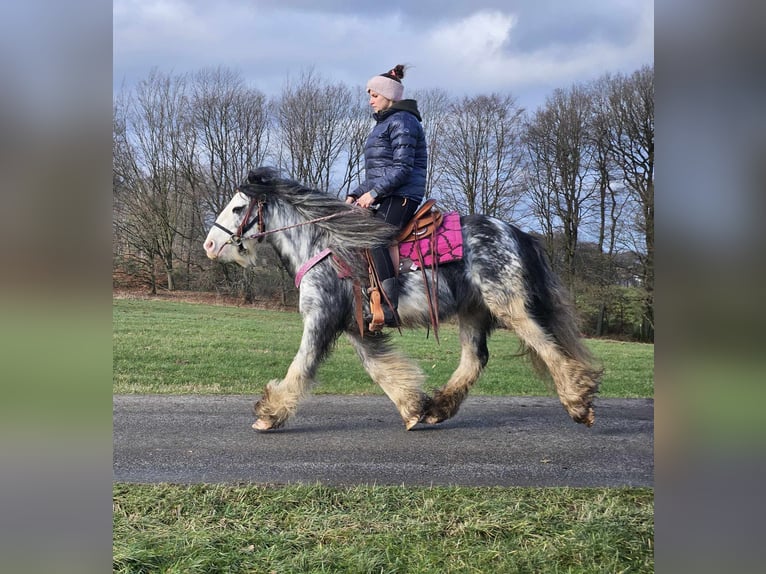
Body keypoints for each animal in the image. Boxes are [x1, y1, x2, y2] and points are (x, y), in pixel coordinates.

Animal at [207, 166, 604, 432]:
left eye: (239, 208)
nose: (210, 244)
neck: (323, 245)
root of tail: (517, 233)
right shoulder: (355, 326)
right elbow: (380, 368)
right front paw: (413, 408)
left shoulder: (322, 317)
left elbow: (301, 366)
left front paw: (269, 414)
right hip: (473, 311)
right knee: (475, 359)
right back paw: (438, 408)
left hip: (509, 306)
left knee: (547, 345)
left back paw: (579, 400)